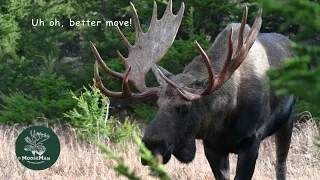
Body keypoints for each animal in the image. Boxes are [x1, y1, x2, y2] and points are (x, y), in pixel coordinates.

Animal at [90, 0, 296, 179]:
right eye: (158, 105)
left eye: (184, 107)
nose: (150, 147)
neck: (225, 118)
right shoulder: (212, 147)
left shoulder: (251, 142)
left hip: (288, 121)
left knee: (281, 165)